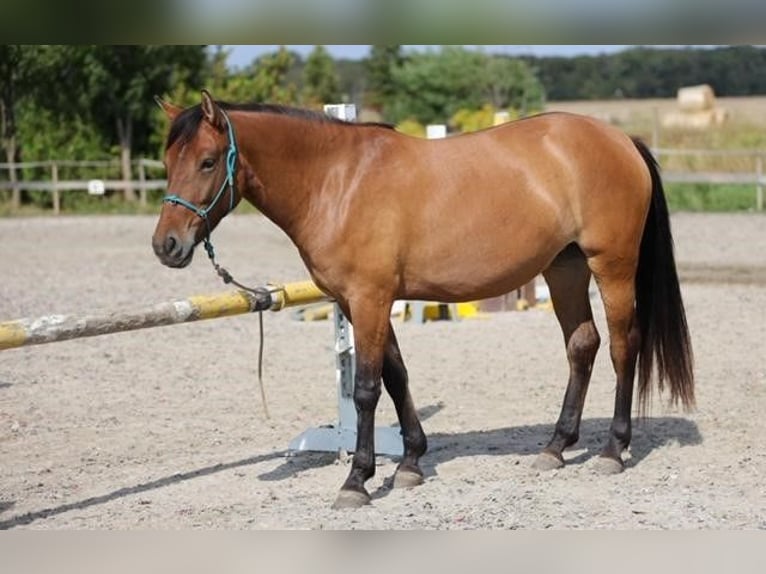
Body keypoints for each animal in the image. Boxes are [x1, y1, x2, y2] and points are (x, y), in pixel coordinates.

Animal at [152, 92, 696, 510]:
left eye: (206, 161)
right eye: (167, 162)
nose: (166, 246)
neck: (337, 181)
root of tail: (622, 141)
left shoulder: (369, 299)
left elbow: (366, 390)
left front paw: (358, 480)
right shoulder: (365, 302)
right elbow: (396, 377)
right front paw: (411, 462)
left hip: (611, 267)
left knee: (624, 346)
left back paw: (612, 450)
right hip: (564, 269)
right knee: (583, 345)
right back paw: (556, 447)